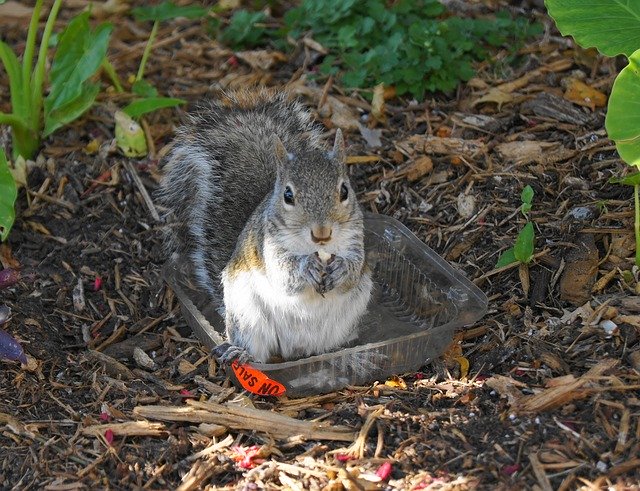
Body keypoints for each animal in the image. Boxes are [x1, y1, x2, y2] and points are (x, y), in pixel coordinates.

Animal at [157, 89, 372, 366]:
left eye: (344, 190)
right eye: (288, 195)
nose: (322, 233)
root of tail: (295, 350)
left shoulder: (356, 240)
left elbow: (353, 270)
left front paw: (341, 269)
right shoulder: (269, 244)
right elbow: (283, 275)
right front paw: (307, 267)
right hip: (248, 317)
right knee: (254, 347)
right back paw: (240, 352)